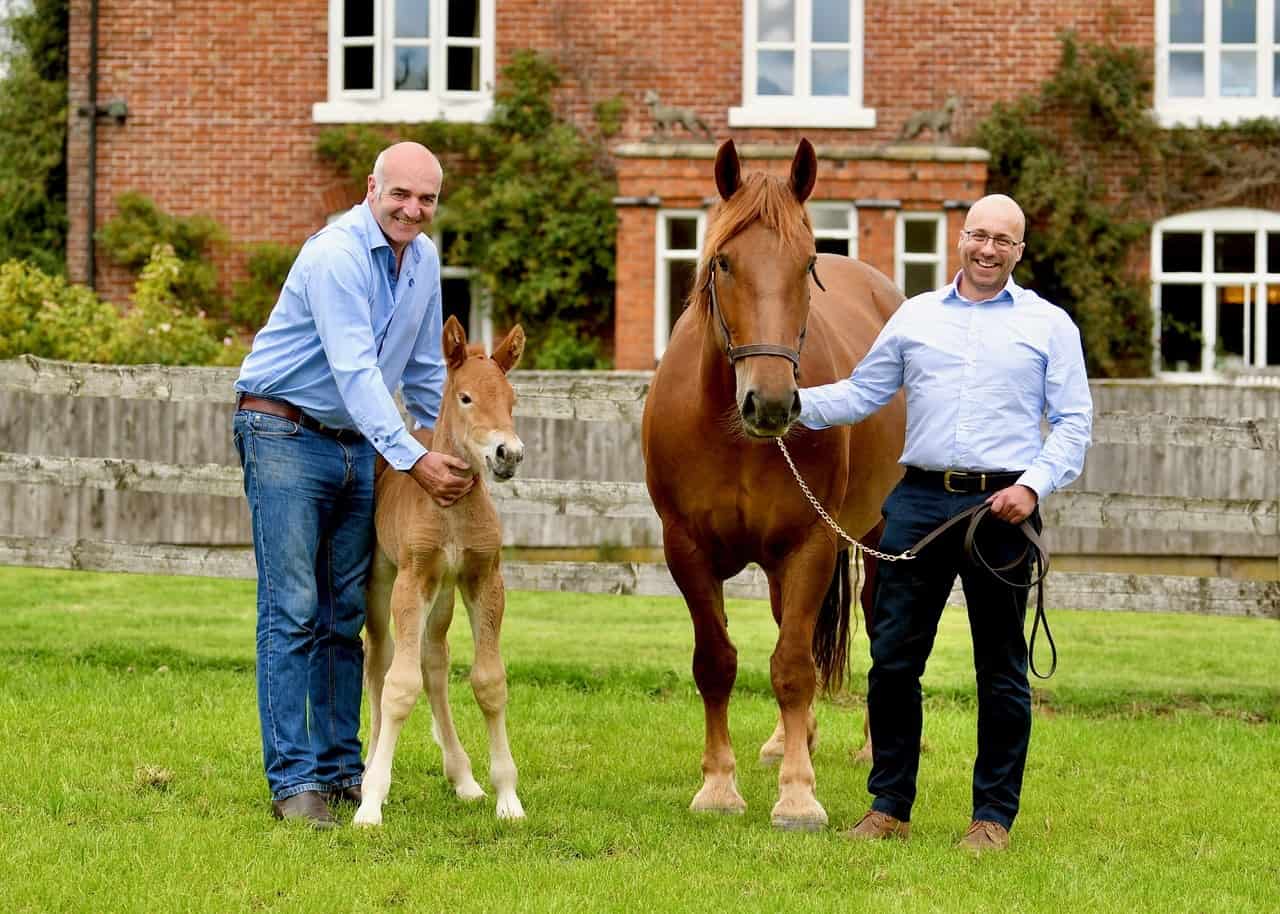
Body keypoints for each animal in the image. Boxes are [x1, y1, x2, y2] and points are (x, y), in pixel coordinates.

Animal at [355, 314, 524, 824]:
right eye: (466, 397)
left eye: (511, 400)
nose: (509, 454)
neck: (451, 507)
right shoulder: (411, 581)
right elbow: (398, 686)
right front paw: (371, 803)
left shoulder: (482, 579)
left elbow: (488, 682)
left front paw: (507, 797)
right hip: (382, 585)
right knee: (379, 662)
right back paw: (368, 767)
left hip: (444, 595)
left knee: (433, 661)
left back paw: (463, 777)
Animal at [645, 138, 906, 829]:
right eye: (724, 262)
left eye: (806, 262)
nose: (771, 403)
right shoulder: (686, 548)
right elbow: (717, 662)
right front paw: (719, 784)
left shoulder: (811, 542)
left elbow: (791, 666)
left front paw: (797, 796)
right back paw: (791, 738)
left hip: (875, 535)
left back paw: (871, 746)